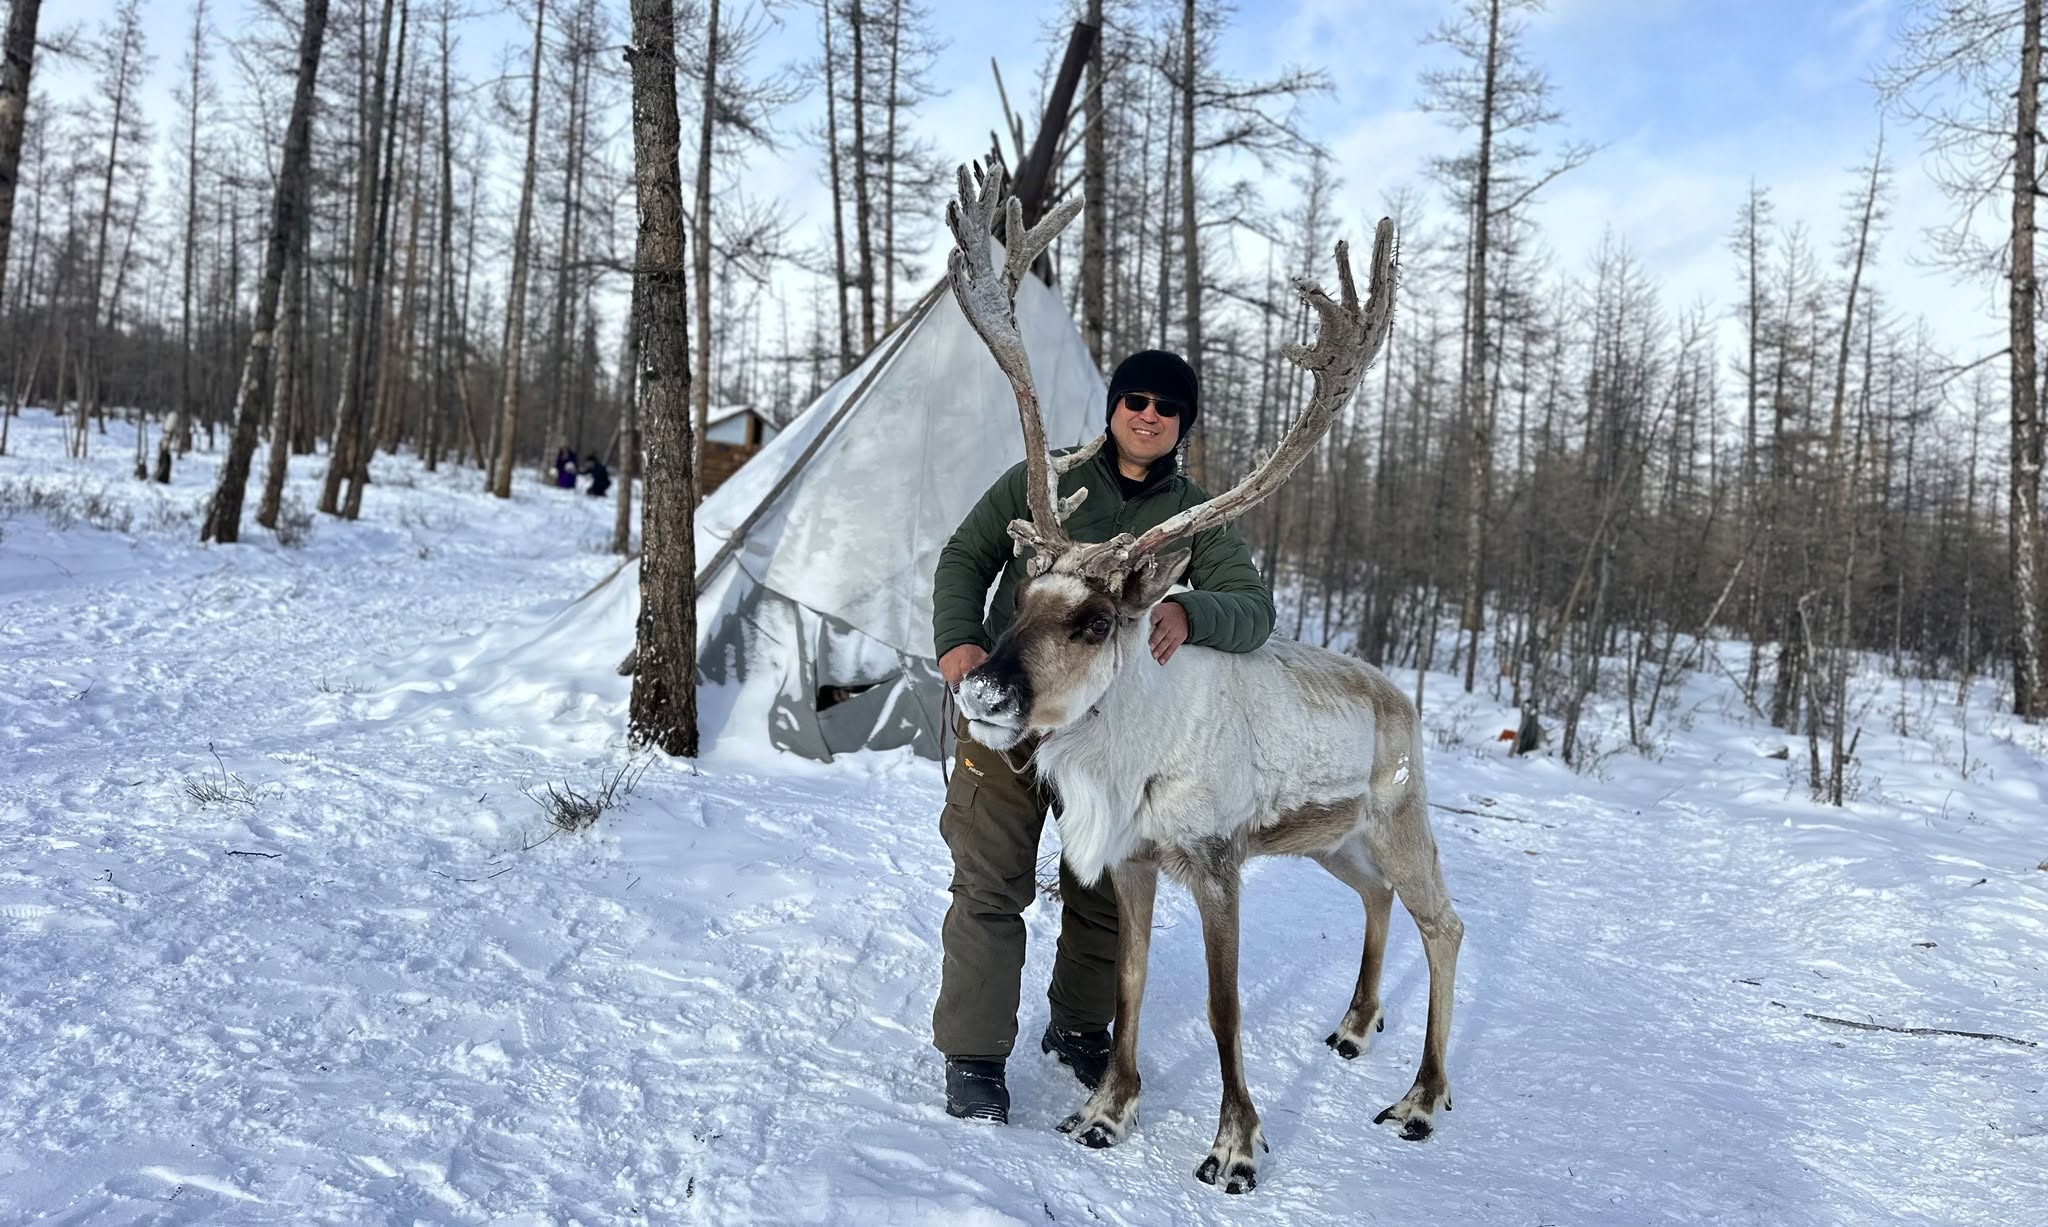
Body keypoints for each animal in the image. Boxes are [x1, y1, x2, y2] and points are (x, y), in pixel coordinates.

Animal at [940, 163, 1462, 1195]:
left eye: (1097, 620)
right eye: (1021, 596)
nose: (984, 692)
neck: (1130, 749)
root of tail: (1400, 694)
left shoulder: (1217, 859)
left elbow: (1224, 1009)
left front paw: (1234, 1146)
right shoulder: (1135, 861)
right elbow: (1130, 984)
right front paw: (1105, 1111)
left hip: (1399, 816)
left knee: (1446, 922)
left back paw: (1422, 1098)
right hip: (1334, 838)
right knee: (1377, 898)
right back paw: (1354, 1025)